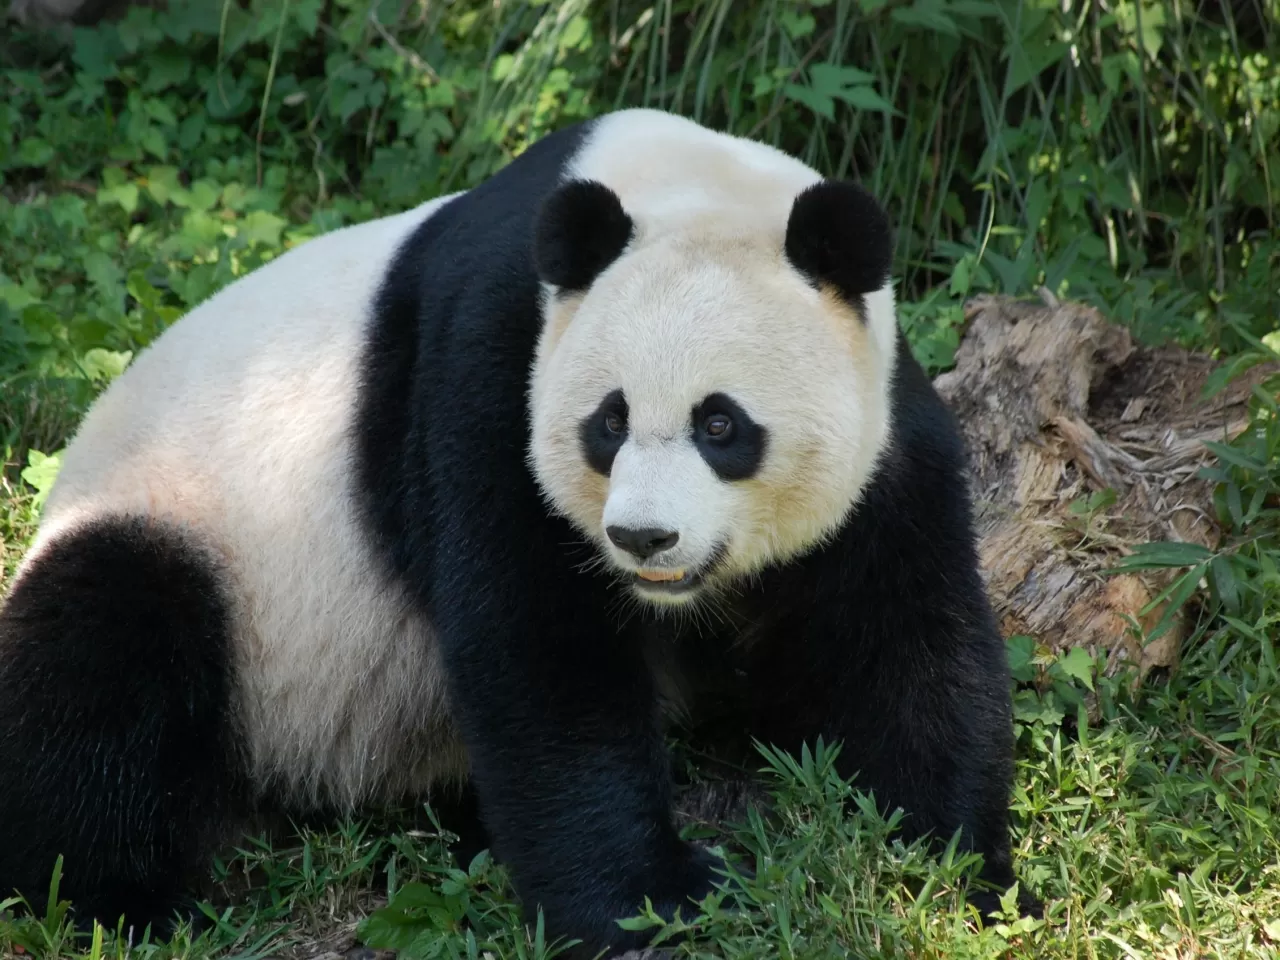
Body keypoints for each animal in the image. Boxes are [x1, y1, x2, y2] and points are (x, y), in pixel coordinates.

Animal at [0, 108, 1034, 956]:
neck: (680, 184)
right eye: (609, 422)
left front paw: (952, 877)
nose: (643, 539)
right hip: (191, 534)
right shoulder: (489, 365)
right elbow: (538, 645)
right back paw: (128, 904)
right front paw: (656, 904)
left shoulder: (884, 421)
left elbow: (901, 630)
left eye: (721, 424)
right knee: (103, 657)